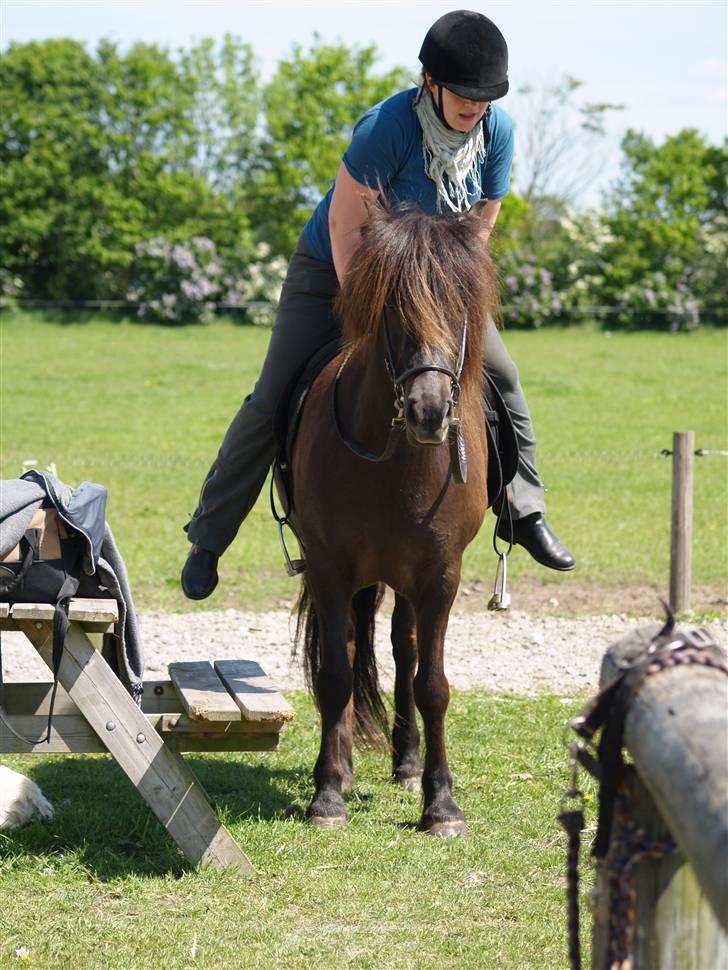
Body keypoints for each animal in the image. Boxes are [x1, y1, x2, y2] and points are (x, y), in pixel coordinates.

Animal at [290, 200, 500, 836]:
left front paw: (441, 803)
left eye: (461, 305)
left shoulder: (440, 575)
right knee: (350, 653)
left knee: (405, 651)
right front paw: (327, 793)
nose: (429, 410)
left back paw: (406, 762)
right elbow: (336, 675)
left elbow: (432, 684)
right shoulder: (329, 567)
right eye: (392, 310)